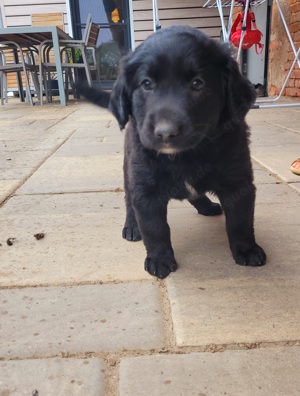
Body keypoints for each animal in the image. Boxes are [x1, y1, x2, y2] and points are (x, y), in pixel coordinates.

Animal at [78, 25, 266, 278]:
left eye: (197, 83)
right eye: (146, 84)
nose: (166, 133)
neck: (185, 155)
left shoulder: (238, 181)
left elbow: (240, 219)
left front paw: (247, 249)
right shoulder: (145, 188)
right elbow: (155, 228)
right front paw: (159, 259)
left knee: (195, 194)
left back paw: (206, 206)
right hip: (129, 170)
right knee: (129, 200)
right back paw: (132, 226)